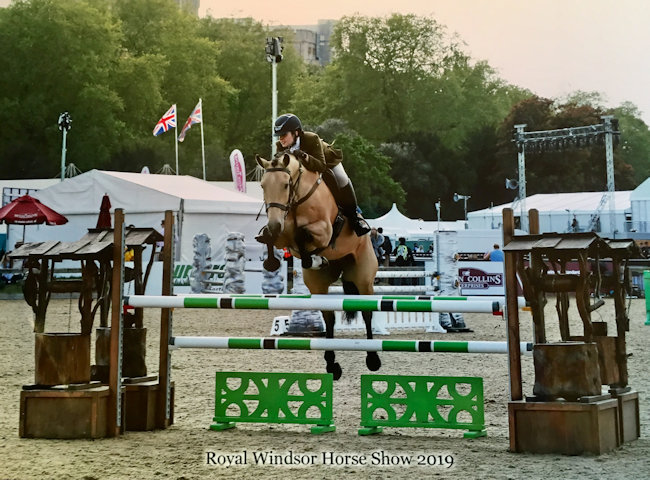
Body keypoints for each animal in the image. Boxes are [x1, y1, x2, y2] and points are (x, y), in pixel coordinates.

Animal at [255, 151, 380, 380]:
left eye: (285, 184)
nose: (274, 223)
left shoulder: (324, 231)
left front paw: (316, 257)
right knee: (329, 318)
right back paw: (332, 365)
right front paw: (272, 259)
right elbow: (278, 239)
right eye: (262, 185)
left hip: (364, 279)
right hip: (318, 285)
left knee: (367, 313)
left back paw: (373, 359)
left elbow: (304, 236)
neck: (297, 199)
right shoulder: (283, 235)